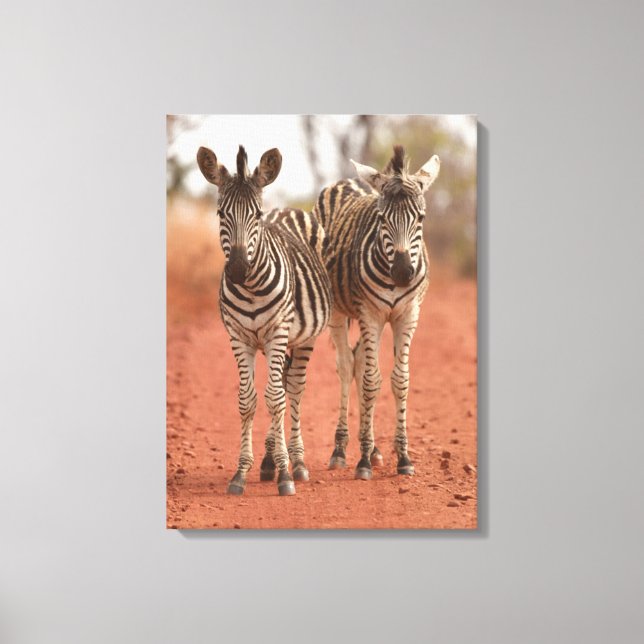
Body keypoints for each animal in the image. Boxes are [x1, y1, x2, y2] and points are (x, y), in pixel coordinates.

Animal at [196, 144, 331, 496]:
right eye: (221, 214)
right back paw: (270, 461)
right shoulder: (238, 337)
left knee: (293, 389)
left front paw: (286, 474)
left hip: (303, 338)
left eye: (256, 215)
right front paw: (242, 472)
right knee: (282, 386)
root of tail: (286, 209)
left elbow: (275, 399)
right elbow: (248, 401)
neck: (252, 287)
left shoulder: (276, 334)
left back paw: (296, 462)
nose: (238, 269)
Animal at [313, 145, 441, 480]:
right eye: (382, 218)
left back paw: (371, 447)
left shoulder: (407, 314)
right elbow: (372, 381)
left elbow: (400, 380)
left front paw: (403, 457)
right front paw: (363, 462)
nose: (402, 273)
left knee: (359, 361)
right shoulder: (370, 313)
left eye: (421, 218)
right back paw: (341, 449)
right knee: (347, 366)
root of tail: (346, 181)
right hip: (339, 312)